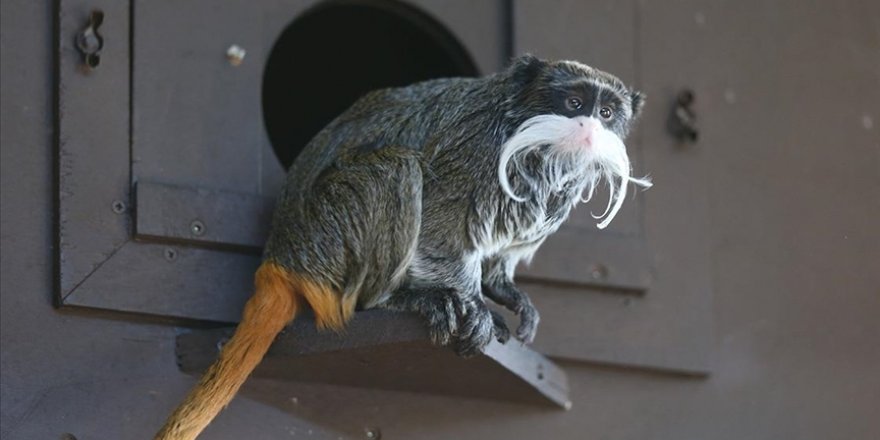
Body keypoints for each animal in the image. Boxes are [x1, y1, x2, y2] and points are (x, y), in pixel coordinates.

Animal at [156, 55, 652, 440]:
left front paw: (507, 295)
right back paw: (402, 300)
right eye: (574, 104)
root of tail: (282, 258)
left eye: (607, 112)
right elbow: (439, 223)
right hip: (328, 239)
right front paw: (472, 304)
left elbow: (500, 255)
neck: (540, 154)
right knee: (397, 167)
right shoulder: (477, 149)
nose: (589, 126)